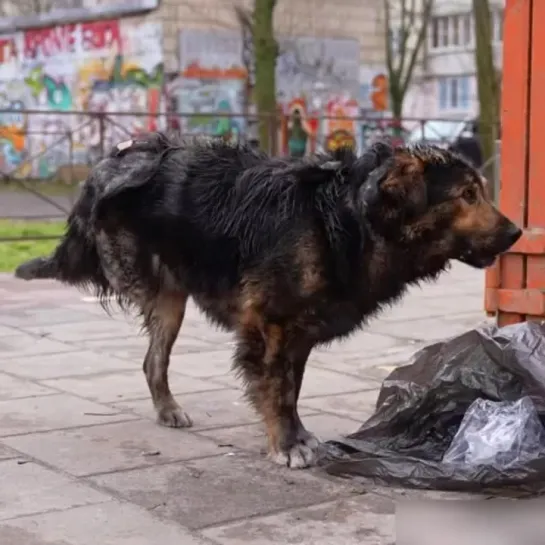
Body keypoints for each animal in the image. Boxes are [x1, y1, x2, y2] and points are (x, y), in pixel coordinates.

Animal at [14, 133, 520, 468]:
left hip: (171, 301)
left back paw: (167, 410)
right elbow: (276, 389)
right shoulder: (270, 325)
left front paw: (296, 436)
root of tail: (112, 162)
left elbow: (292, 389)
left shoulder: (299, 333)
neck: (349, 218)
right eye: (467, 194)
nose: (517, 232)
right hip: (148, 279)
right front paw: (287, 445)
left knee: (152, 360)